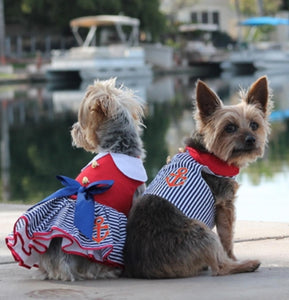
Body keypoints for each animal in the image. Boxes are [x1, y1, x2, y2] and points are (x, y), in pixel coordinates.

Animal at [123, 76, 270, 278]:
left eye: (255, 125)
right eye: (229, 128)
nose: (251, 139)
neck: (210, 153)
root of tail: (142, 268)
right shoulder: (225, 205)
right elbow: (227, 238)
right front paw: (233, 258)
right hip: (201, 231)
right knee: (220, 267)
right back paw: (246, 265)